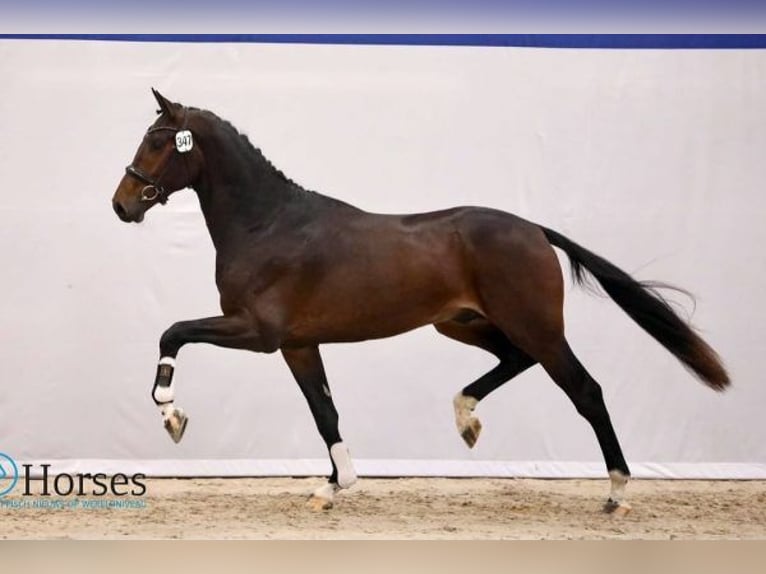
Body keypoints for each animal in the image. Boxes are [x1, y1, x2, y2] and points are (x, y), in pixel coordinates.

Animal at [111, 91, 728, 516]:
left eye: (159, 140)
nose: (122, 204)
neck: (268, 225)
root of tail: (534, 230)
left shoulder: (259, 332)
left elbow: (173, 331)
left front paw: (172, 415)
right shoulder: (298, 344)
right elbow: (324, 412)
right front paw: (333, 487)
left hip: (537, 328)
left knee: (586, 391)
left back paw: (618, 492)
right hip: (462, 324)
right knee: (515, 360)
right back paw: (466, 418)